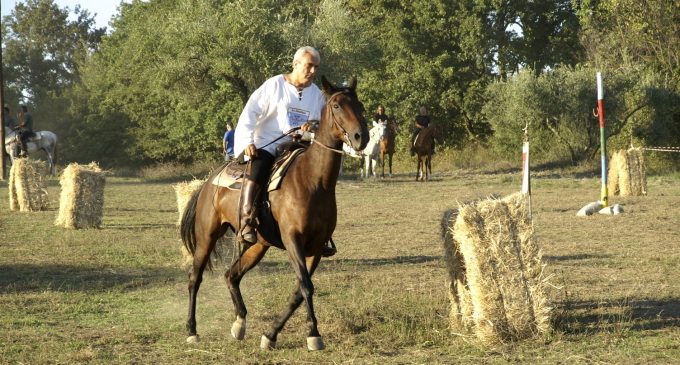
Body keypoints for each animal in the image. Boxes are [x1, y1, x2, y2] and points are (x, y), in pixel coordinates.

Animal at [179, 76, 366, 350]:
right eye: (337, 105)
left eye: (359, 105)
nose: (361, 136)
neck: (313, 181)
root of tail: (208, 182)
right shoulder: (292, 240)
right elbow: (306, 286)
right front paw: (313, 334)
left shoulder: (317, 247)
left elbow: (299, 291)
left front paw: (270, 334)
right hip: (206, 236)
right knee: (195, 277)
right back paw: (192, 330)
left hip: (259, 245)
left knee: (231, 275)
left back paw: (239, 324)